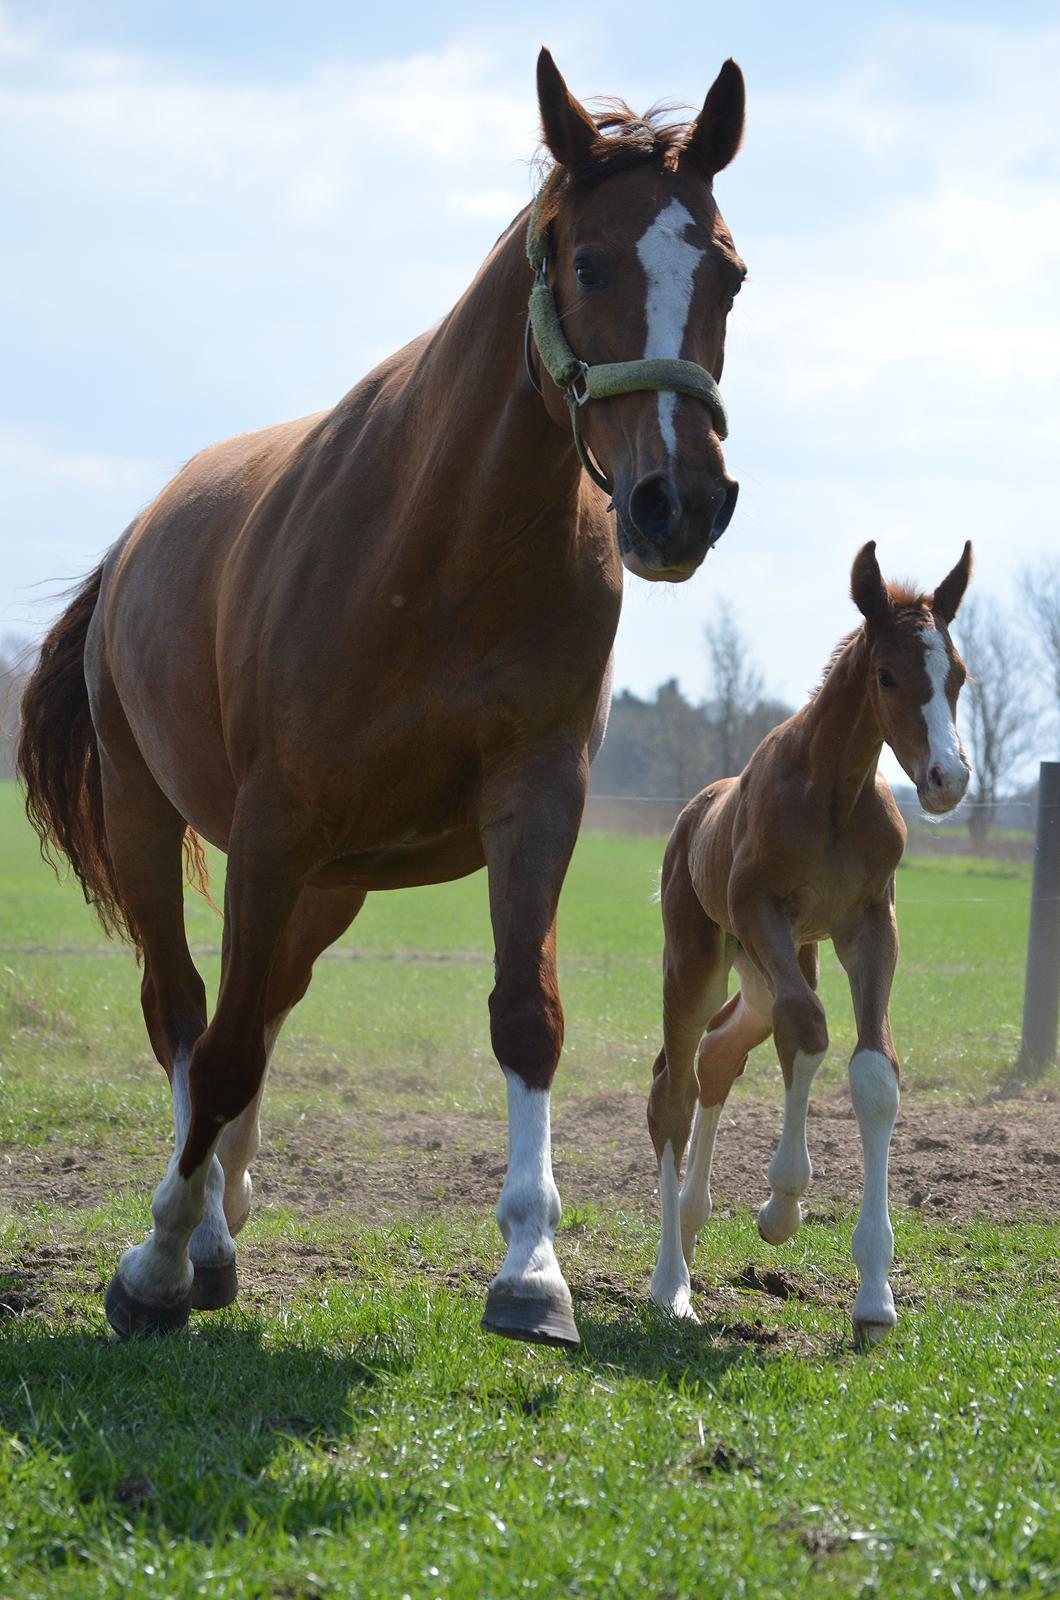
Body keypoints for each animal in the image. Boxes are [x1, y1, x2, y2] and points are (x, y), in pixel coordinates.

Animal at [646, 544, 973, 1344]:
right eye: (888, 675)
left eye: (956, 674)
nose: (948, 778)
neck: (832, 793)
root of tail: (693, 815)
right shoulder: (762, 910)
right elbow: (811, 1033)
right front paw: (781, 1205)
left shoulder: (869, 924)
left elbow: (873, 1070)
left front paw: (875, 1297)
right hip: (702, 957)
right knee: (674, 1086)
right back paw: (671, 1283)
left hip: (769, 968)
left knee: (718, 1055)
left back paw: (693, 1226)